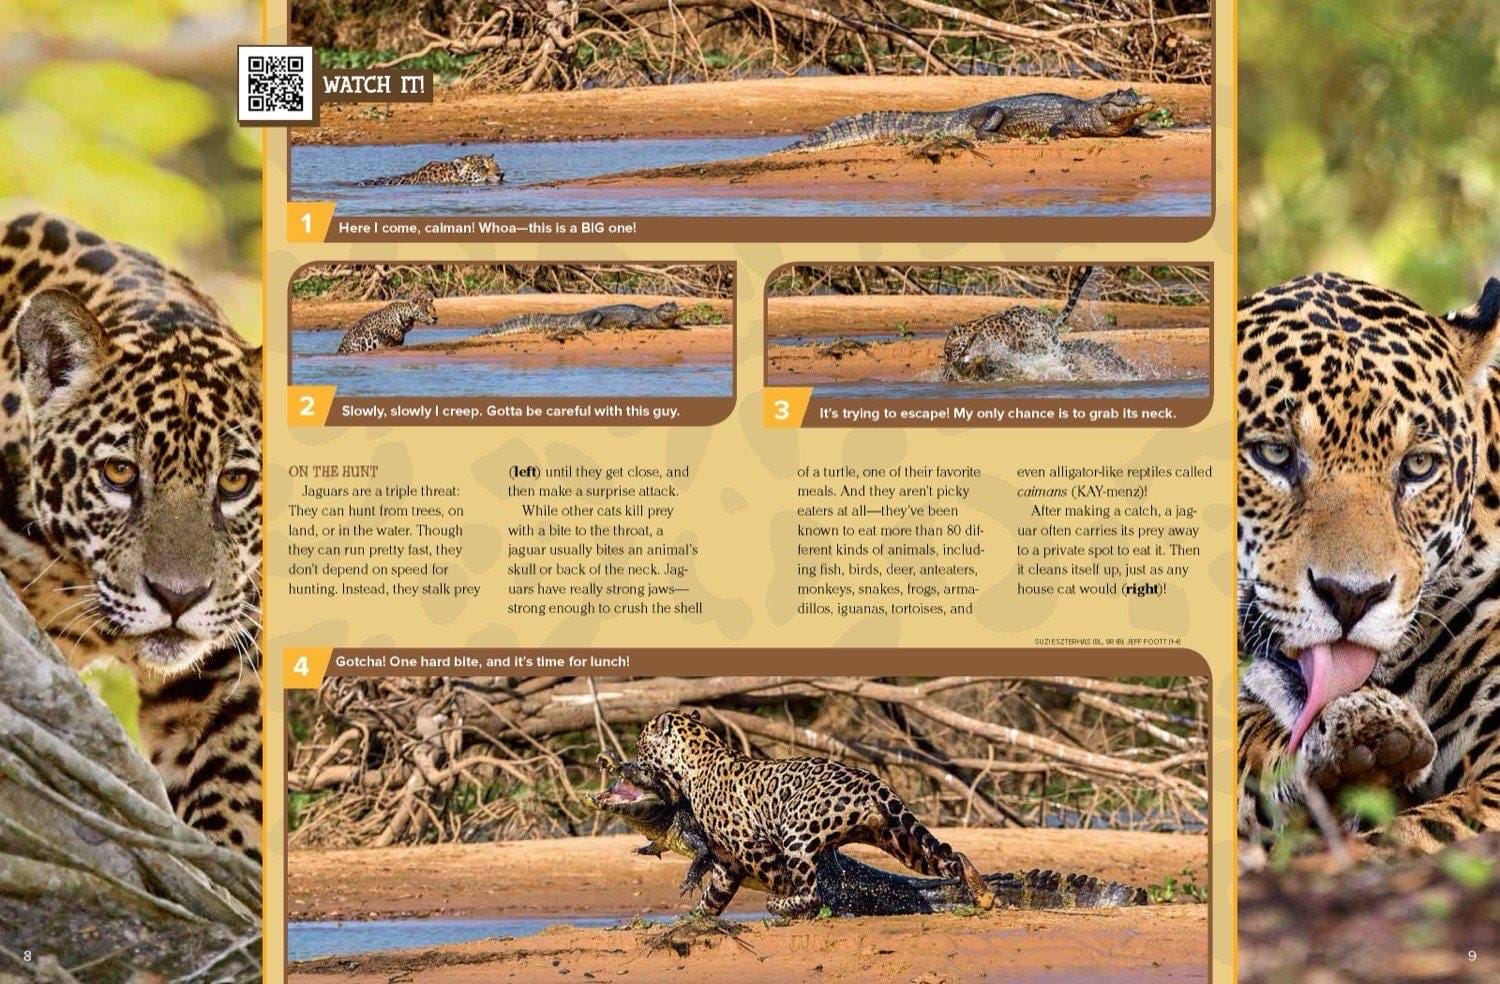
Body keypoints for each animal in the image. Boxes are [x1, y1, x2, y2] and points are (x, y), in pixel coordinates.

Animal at [633, 709, 995, 919]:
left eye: (640, 745)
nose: (633, 761)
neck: (695, 761)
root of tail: (871, 781)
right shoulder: (727, 858)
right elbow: (714, 895)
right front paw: (694, 918)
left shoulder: (752, 846)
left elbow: (779, 880)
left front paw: (786, 906)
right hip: (900, 839)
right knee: (950, 857)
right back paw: (981, 893)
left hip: (797, 834)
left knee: (810, 891)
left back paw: (785, 907)